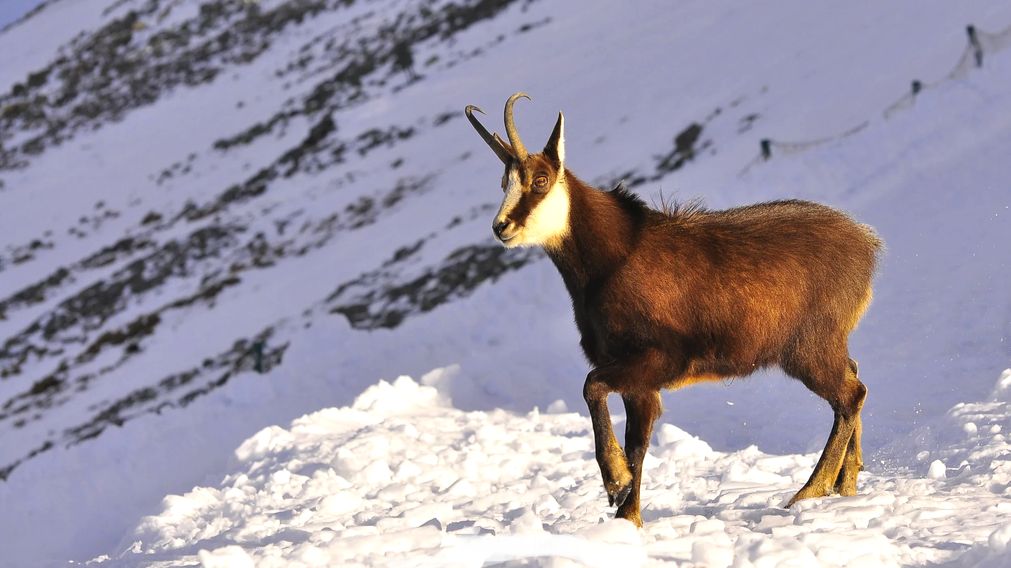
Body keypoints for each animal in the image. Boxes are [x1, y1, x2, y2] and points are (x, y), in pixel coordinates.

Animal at [465, 92, 883, 527]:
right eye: (504, 182)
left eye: (541, 179)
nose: (501, 227)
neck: (612, 259)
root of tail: (867, 244)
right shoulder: (638, 379)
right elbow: (637, 440)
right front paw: (628, 516)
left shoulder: (659, 357)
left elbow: (593, 387)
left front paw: (615, 482)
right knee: (854, 379)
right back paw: (846, 482)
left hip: (807, 346)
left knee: (850, 394)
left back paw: (811, 491)